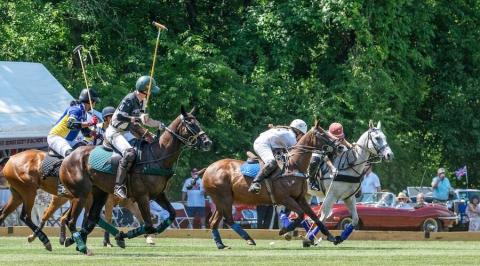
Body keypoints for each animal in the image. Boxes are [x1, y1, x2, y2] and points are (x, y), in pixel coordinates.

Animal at [59, 106, 210, 254]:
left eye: (198, 123)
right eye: (190, 124)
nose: (208, 142)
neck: (157, 156)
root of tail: (68, 157)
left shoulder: (158, 194)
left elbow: (171, 215)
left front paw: (121, 236)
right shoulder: (142, 196)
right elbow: (149, 225)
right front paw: (123, 236)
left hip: (99, 193)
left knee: (89, 219)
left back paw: (72, 240)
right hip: (81, 195)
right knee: (71, 220)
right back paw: (82, 246)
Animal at [202, 121, 342, 248]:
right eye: (323, 134)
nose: (340, 147)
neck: (294, 165)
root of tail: (208, 168)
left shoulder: (300, 198)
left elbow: (315, 217)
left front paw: (331, 237)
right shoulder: (284, 198)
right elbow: (301, 214)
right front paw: (284, 230)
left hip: (221, 200)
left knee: (213, 221)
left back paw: (220, 244)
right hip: (224, 197)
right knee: (228, 219)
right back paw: (248, 239)